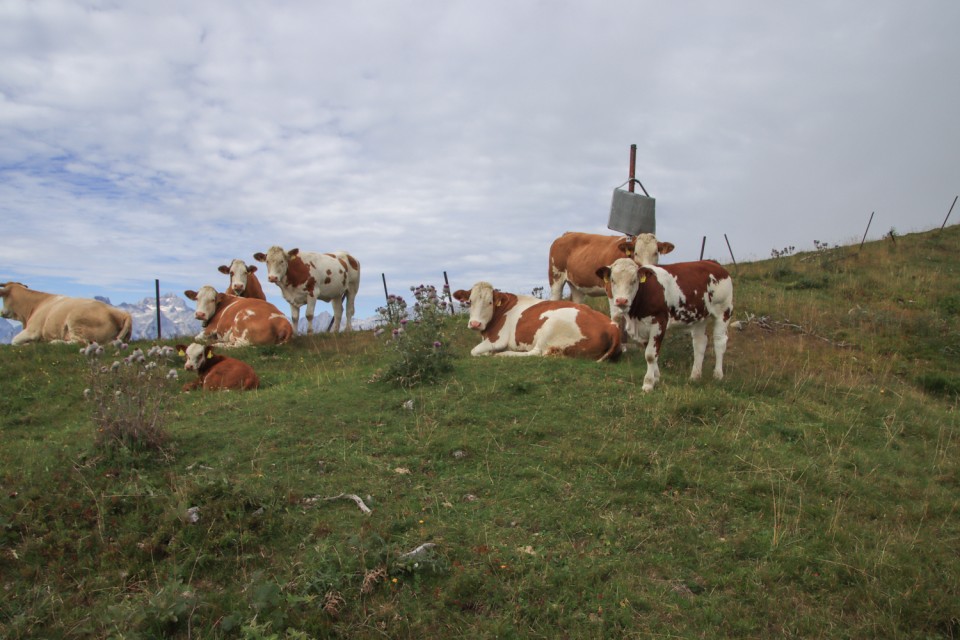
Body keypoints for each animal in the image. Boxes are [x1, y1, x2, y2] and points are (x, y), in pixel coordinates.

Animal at [452, 282, 624, 362]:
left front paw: (490, 353)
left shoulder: (498, 340)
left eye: (490, 302)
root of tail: (611, 326)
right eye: (469, 301)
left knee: (536, 353)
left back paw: (503, 354)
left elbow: (474, 351)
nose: (475, 324)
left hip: (550, 326)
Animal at [548, 232, 676, 308]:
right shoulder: (611, 290)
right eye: (636, 253)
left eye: (656, 253)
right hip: (556, 278)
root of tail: (566, 234)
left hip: (577, 287)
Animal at [592, 258, 736, 390]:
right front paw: (656, 377)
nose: (621, 300)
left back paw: (718, 375)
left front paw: (648, 383)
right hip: (699, 317)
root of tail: (712, 262)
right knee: (699, 342)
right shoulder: (643, 327)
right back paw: (695, 376)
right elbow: (652, 353)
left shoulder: (659, 322)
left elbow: (650, 355)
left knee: (719, 341)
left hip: (724, 311)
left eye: (634, 281)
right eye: (613, 280)